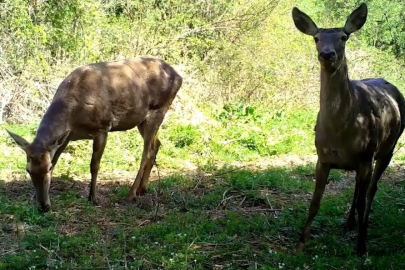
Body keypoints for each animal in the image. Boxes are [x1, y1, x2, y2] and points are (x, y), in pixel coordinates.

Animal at [6, 57, 181, 213]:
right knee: (156, 144)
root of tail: (179, 76)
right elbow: (56, 159)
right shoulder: (66, 137)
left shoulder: (102, 128)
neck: (73, 115)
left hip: (159, 109)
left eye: (47, 168)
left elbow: (94, 165)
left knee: (146, 152)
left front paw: (93, 198)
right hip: (141, 120)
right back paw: (142, 189)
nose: (43, 206)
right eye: (28, 170)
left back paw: (131, 194)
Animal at [290, 3, 404, 256]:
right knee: (358, 189)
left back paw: (363, 227)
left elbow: (363, 199)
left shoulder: (366, 155)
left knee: (370, 191)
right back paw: (350, 222)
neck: (340, 131)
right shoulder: (322, 157)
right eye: (316, 38)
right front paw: (300, 244)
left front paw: (361, 247)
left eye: (343, 37)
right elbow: (315, 201)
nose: (327, 54)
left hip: (387, 149)